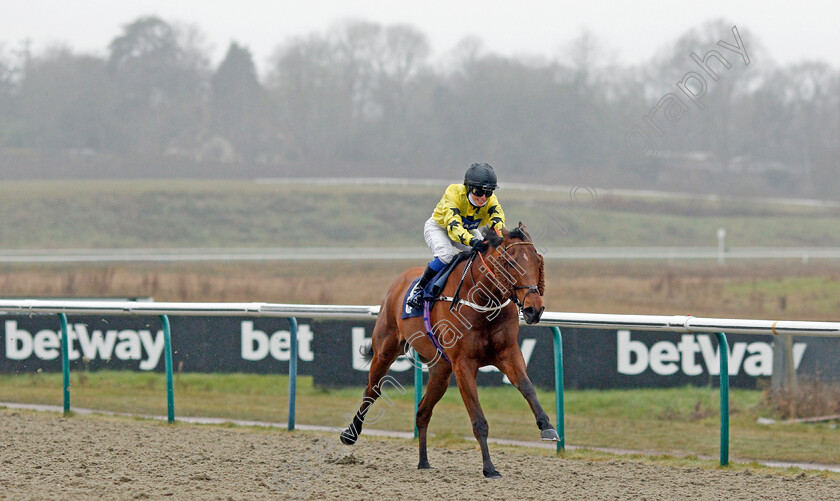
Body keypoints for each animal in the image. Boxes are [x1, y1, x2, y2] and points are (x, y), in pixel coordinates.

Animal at [334, 222, 556, 476]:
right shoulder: (463, 364)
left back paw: (423, 461)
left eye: (537, 262)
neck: (482, 301)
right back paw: (350, 434)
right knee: (372, 390)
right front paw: (489, 468)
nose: (533, 309)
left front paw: (547, 426)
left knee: (422, 411)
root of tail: (399, 280)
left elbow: (528, 388)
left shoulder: (508, 353)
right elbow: (478, 420)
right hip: (385, 349)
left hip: (440, 370)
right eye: (510, 262)